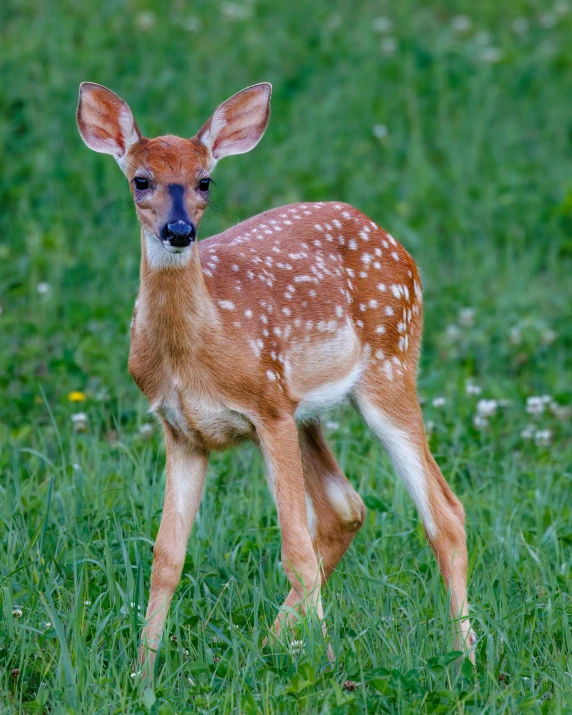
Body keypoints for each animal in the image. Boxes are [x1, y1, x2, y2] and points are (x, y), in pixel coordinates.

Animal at [77, 81, 478, 676]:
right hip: (307, 410)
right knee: (345, 508)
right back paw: (267, 645)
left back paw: (464, 654)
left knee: (443, 513)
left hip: (390, 365)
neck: (197, 347)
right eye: (140, 180)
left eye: (205, 180)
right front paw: (142, 672)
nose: (179, 231)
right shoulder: (182, 430)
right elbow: (166, 557)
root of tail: (393, 242)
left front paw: (327, 668)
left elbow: (295, 553)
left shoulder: (266, 407)